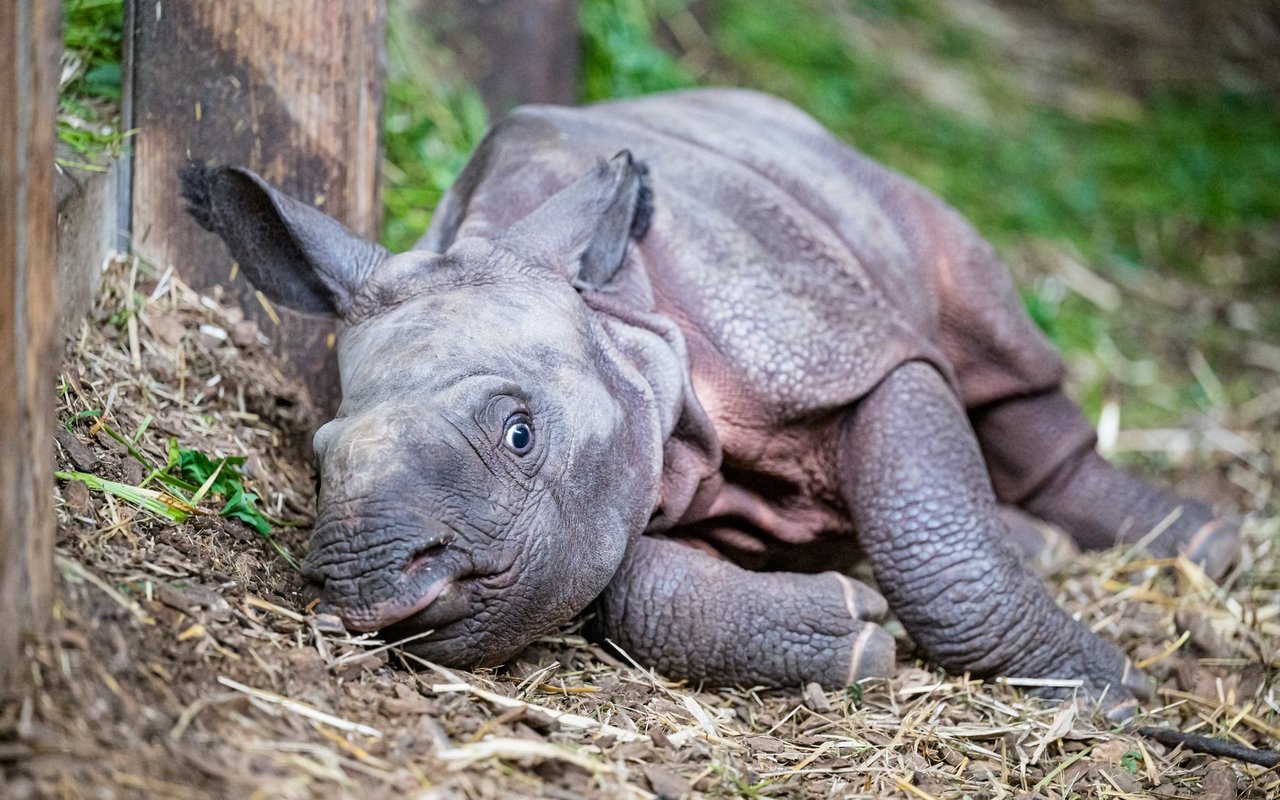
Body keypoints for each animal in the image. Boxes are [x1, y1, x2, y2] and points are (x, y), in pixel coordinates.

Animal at [180, 88, 1239, 716]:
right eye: (319, 455)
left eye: (519, 435)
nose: (367, 583)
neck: (622, 320)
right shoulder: (625, 472)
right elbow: (624, 584)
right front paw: (852, 632)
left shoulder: (837, 349)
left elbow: (940, 534)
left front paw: (1117, 691)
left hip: (863, 191)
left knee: (989, 343)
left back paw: (1209, 547)